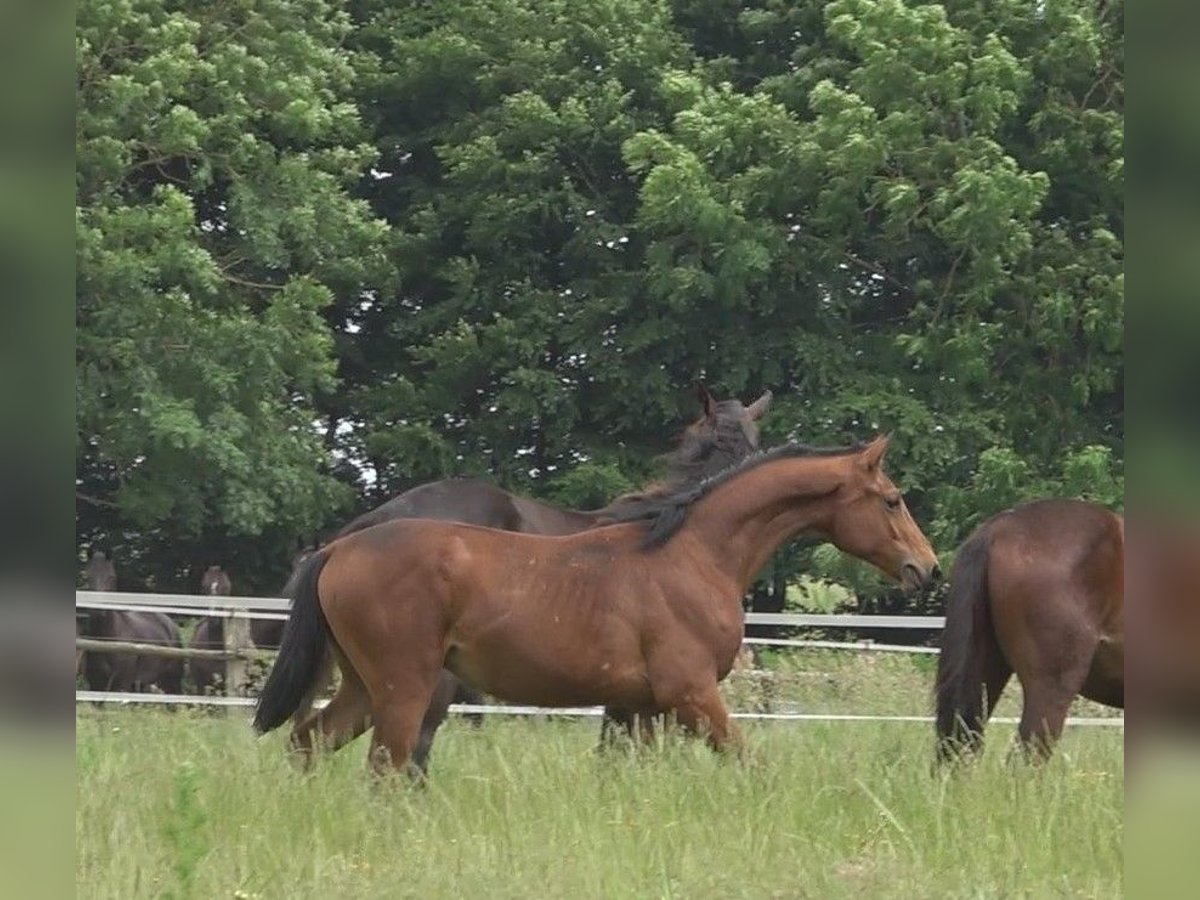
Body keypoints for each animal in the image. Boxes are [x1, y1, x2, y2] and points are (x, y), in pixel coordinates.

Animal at [79, 549, 183, 696]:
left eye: (111, 577)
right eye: (89, 576)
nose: (98, 610)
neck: (108, 639)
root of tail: (170, 624)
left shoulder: (122, 685)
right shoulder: (95, 685)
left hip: (172, 681)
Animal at [258, 434, 940, 777]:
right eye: (892, 499)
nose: (926, 568)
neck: (692, 553)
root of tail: (339, 547)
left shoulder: (641, 708)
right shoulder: (692, 695)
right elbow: (748, 762)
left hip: (364, 687)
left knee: (308, 742)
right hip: (406, 687)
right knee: (385, 766)